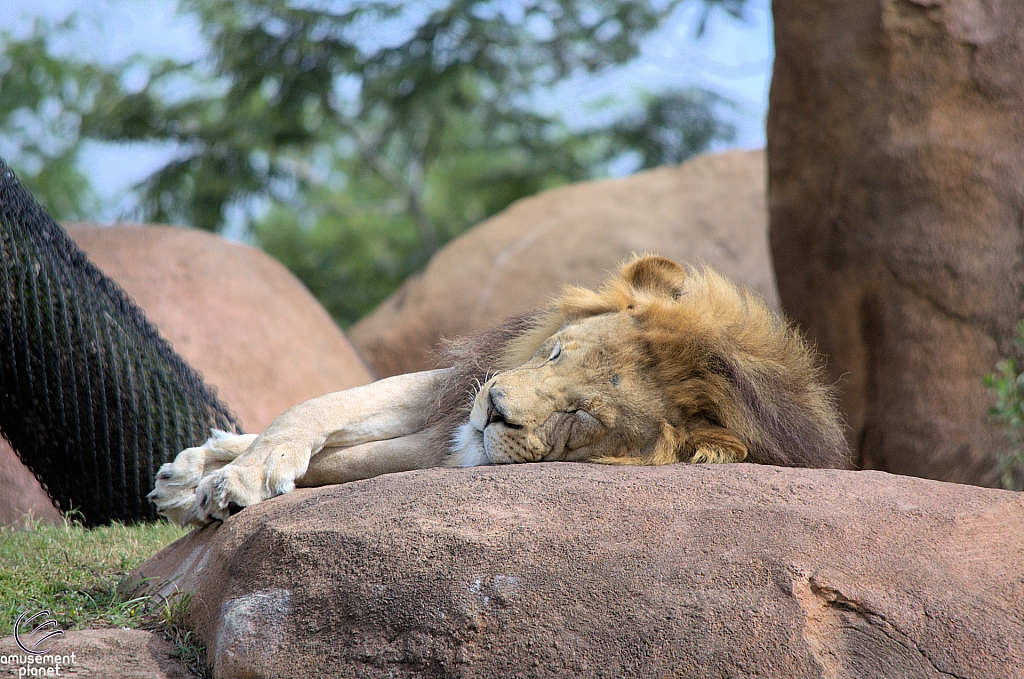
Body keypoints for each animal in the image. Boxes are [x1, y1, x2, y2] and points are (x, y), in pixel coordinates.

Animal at [149, 255, 847, 524]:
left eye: (582, 415)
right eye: (555, 351)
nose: (495, 410)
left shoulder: (457, 446)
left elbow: (344, 461)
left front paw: (223, 485)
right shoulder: (459, 389)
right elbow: (314, 408)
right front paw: (229, 474)